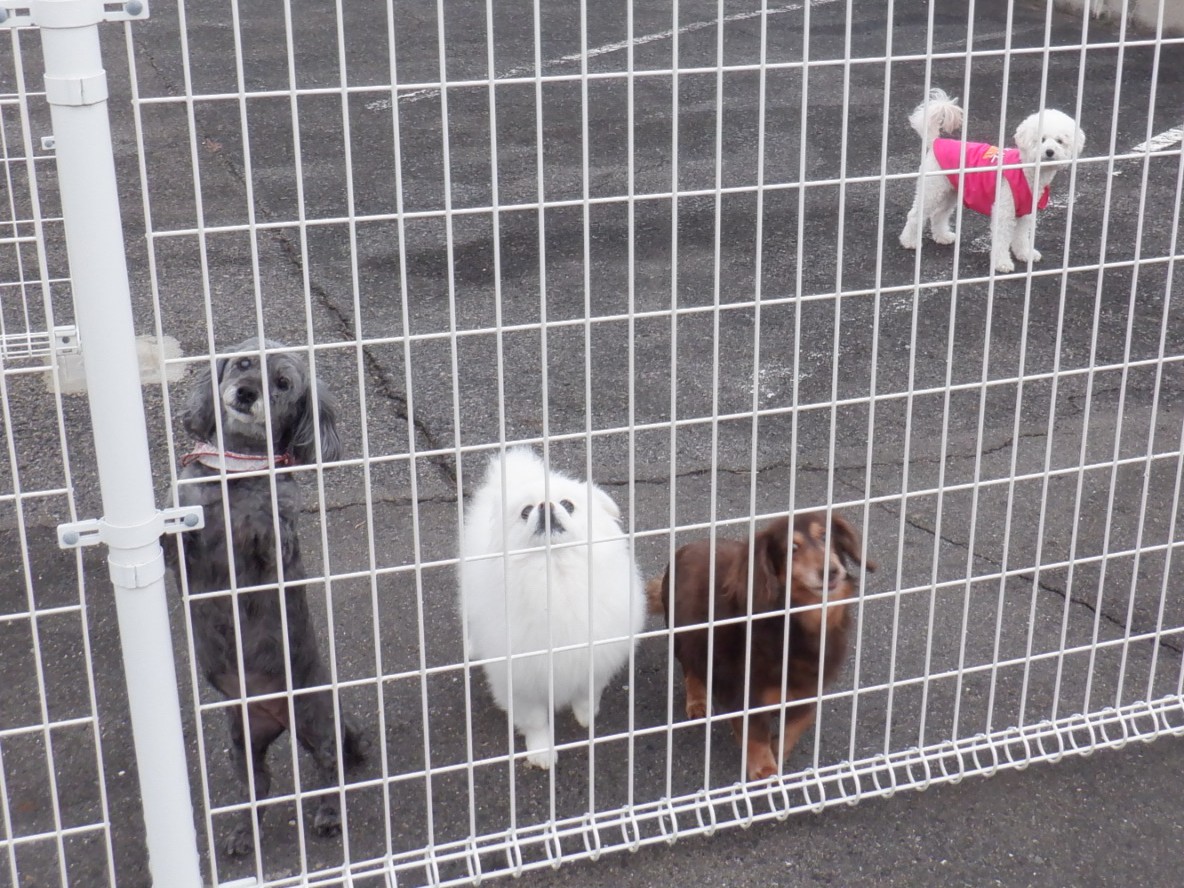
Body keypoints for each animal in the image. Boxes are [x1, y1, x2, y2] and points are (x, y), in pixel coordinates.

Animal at [167, 338, 364, 856]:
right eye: (242, 363)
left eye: (282, 383)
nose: (246, 392)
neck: (234, 476)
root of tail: (273, 716)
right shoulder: (186, 554)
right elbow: (179, 537)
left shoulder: (278, 549)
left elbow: (273, 532)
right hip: (242, 742)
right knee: (260, 786)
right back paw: (241, 833)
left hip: (316, 720)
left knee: (330, 765)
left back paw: (328, 814)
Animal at [459, 447, 645, 769]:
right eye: (525, 512)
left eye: (568, 505)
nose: (545, 506)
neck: (554, 572)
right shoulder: (521, 682)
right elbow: (535, 722)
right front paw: (541, 752)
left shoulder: (595, 653)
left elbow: (588, 693)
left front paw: (586, 716)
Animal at [647, 511, 875, 781]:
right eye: (792, 548)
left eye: (825, 536)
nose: (831, 571)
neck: (796, 626)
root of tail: (688, 547)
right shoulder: (746, 690)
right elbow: (755, 733)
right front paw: (765, 771)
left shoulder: (809, 690)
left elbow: (800, 721)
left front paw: (778, 750)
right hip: (684, 638)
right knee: (691, 669)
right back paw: (697, 702)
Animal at [899, 88, 1085, 273]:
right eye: (1041, 140)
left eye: (1060, 141)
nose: (1049, 152)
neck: (1026, 171)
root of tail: (936, 141)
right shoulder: (1004, 211)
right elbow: (1001, 239)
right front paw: (1002, 263)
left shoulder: (1026, 213)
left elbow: (1021, 236)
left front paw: (1025, 254)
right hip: (932, 189)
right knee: (915, 214)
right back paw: (909, 241)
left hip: (950, 191)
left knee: (939, 214)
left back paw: (942, 236)